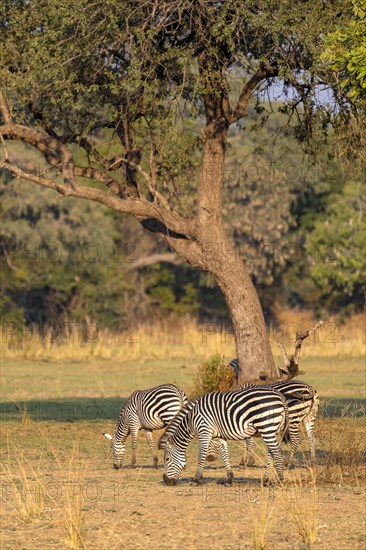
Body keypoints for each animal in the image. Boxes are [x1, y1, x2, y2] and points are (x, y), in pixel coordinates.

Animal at [157, 388, 288, 488]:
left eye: (167, 459)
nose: (166, 481)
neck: (190, 420)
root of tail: (279, 395)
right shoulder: (219, 436)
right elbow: (225, 456)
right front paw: (229, 479)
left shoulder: (204, 433)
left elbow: (201, 457)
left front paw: (195, 480)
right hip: (272, 430)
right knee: (272, 452)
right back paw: (265, 480)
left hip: (266, 427)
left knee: (277, 451)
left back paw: (280, 480)